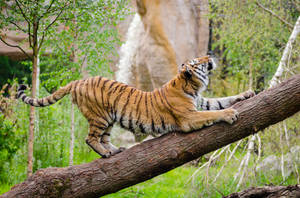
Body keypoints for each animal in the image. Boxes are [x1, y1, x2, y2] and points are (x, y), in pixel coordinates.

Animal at [17, 55, 254, 158]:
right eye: (199, 61)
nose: (210, 55)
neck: (192, 86)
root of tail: (78, 81)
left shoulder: (201, 102)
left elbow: (222, 100)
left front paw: (247, 93)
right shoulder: (188, 117)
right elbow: (215, 111)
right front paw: (230, 114)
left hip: (110, 119)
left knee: (104, 138)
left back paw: (114, 150)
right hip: (99, 117)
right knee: (90, 138)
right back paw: (105, 154)